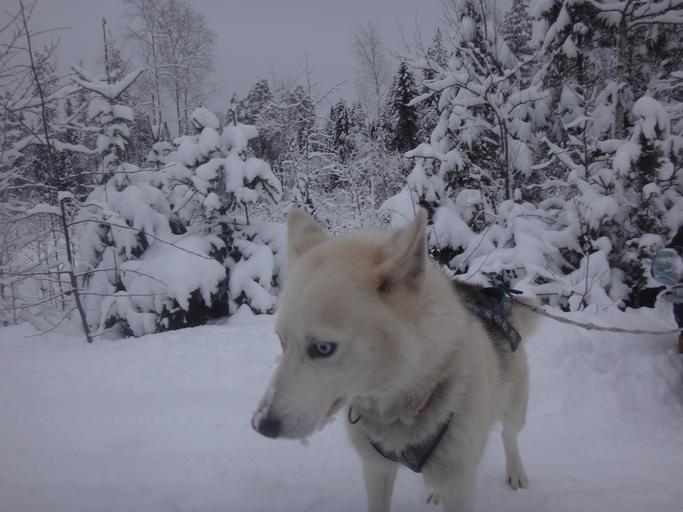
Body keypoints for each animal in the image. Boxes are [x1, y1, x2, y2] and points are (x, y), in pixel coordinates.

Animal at [252, 208, 536, 512]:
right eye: (282, 340)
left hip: (514, 409)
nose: (261, 425)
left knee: (509, 435)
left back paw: (516, 471)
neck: (402, 406)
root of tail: (496, 302)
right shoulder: (376, 469)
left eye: (323, 348)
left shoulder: (459, 483)